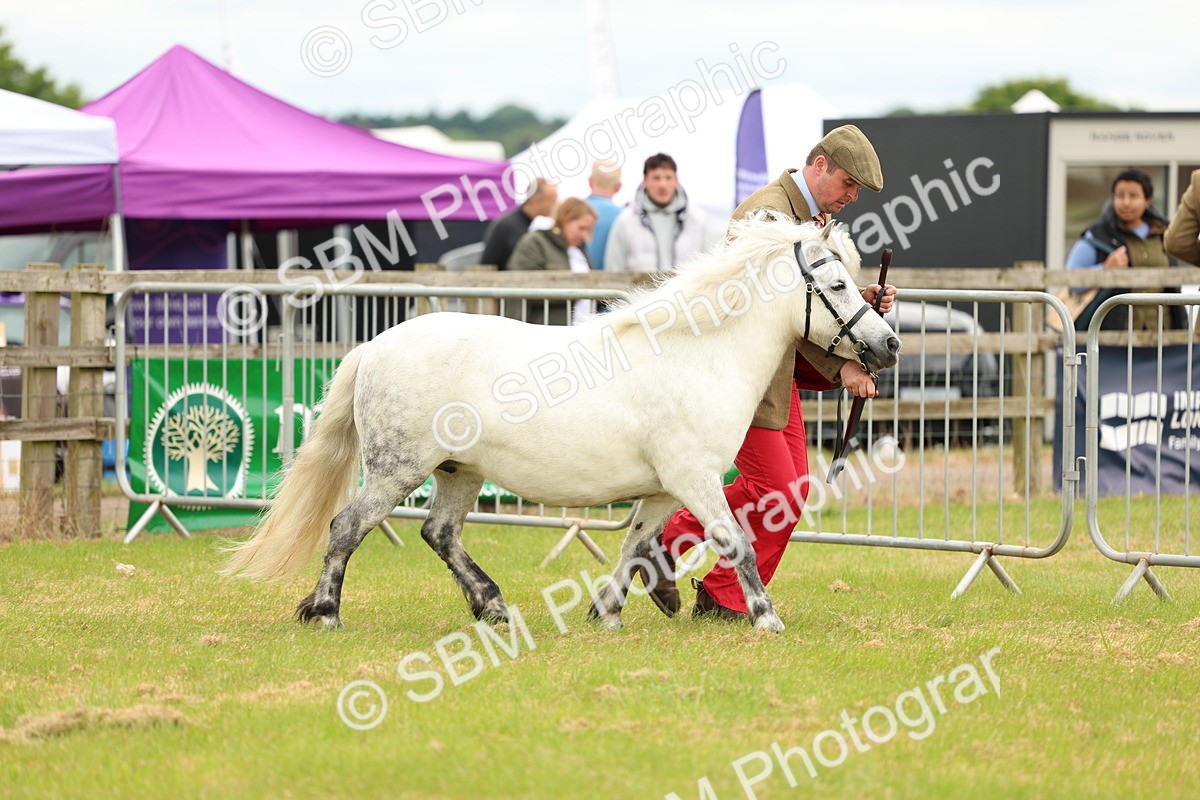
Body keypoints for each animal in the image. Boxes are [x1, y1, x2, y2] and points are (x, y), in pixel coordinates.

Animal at [222, 213, 901, 633]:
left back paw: (493, 608)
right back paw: (327, 612)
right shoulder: (695, 477)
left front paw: (609, 612)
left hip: (458, 472)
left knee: (440, 533)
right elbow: (736, 542)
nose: (888, 345)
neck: (698, 352)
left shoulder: (664, 488)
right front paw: (766, 618)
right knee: (347, 528)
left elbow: (635, 545)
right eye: (839, 284)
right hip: (397, 470)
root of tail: (373, 346)